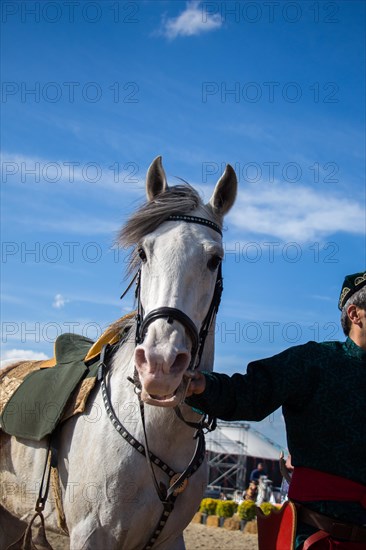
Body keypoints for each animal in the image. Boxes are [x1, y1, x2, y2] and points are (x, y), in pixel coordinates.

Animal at [0, 156, 237, 550]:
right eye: (143, 252)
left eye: (214, 259)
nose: (160, 364)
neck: (156, 433)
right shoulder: (91, 535)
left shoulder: (170, 540)